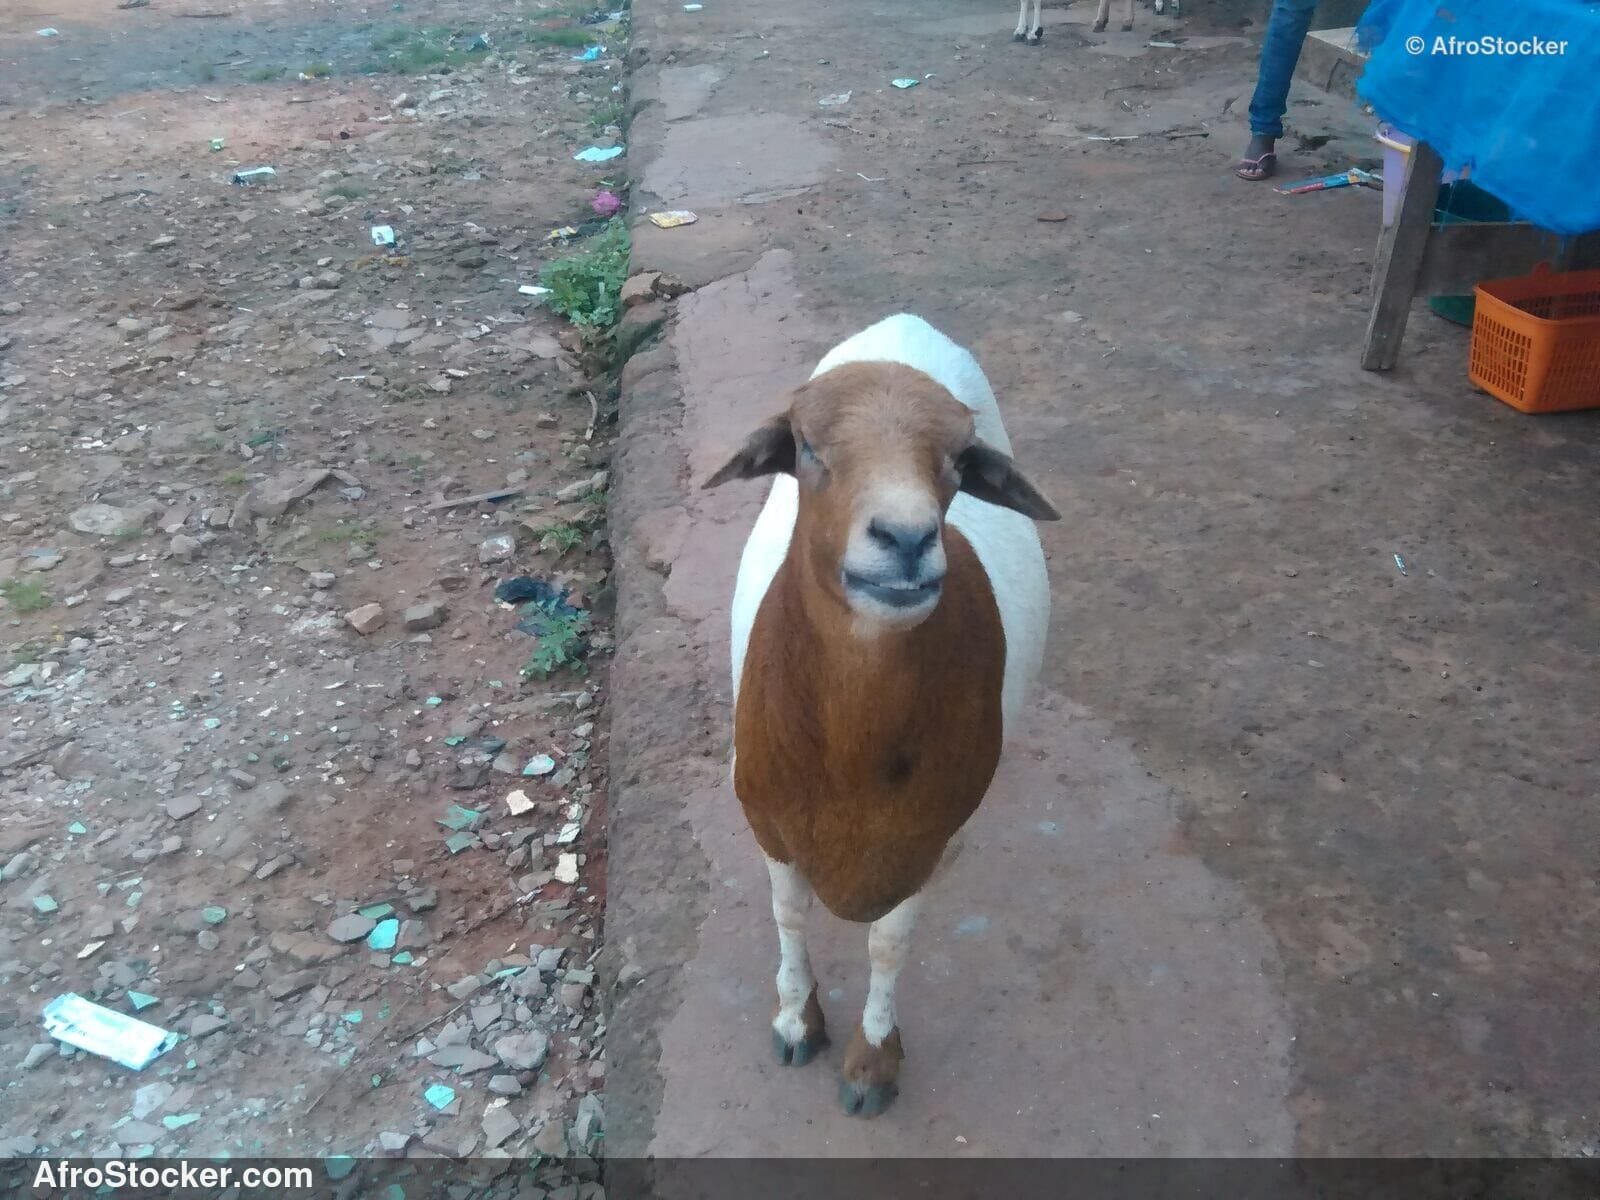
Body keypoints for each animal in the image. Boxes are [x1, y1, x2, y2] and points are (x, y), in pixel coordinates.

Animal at [703, 314, 1058, 1117]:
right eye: (806, 446)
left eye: (959, 458)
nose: (906, 539)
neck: (850, 751)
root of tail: (905, 324)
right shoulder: (765, 815)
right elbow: (789, 914)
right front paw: (797, 1020)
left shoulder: (929, 838)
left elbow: (888, 946)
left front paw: (872, 1062)